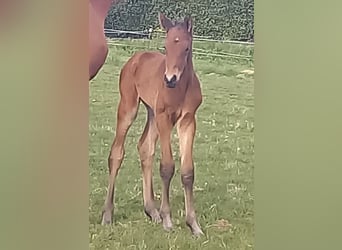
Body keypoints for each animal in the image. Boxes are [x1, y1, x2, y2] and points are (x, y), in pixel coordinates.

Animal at [101, 13, 203, 236]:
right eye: (165, 46)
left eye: (186, 48)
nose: (170, 79)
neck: (180, 88)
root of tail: (136, 57)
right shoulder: (165, 118)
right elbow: (167, 167)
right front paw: (168, 220)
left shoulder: (188, 120)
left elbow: (188, 171)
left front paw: (193, 224)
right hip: (129, 107)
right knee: (116, 153)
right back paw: (108, 214)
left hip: (152, 113)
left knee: (145, 148)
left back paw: (151, 210)